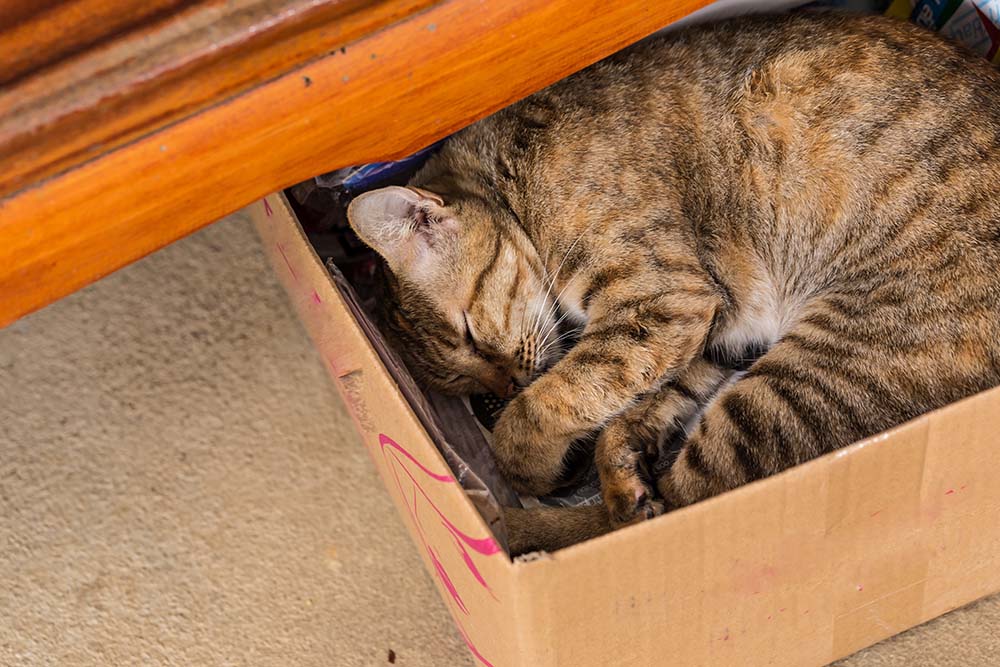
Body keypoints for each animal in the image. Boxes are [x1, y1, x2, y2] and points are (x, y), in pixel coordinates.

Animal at [346, 10, 1000, 556]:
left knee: (679, 502)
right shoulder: (713, 325)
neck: (518, 191)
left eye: (472, 335)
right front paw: (614, 447)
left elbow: (548, 404)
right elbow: (634, 398)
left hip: (809, 374)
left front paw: (527, 461)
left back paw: (532, 527)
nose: (504, 386)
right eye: (468, 385)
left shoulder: (662, 301)